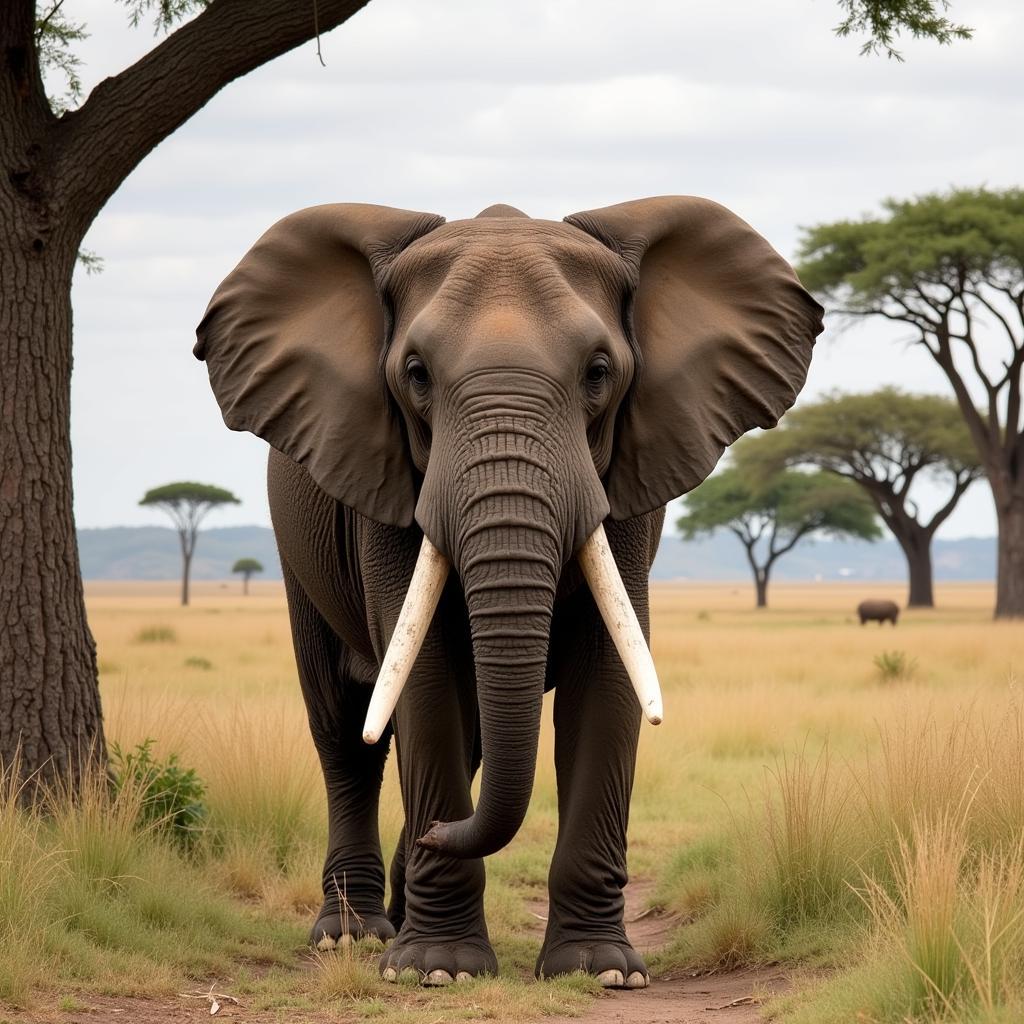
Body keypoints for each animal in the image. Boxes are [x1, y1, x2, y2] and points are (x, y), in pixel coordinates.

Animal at [195, 195, 823, 987]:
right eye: (416, 374)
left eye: (598, 372)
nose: (439, 832)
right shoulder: (389, 489)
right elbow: (426, 678)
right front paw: (436, 970)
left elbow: (607, 677)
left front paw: (601, 970)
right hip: (296, 545)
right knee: (345, 731)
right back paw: (352, 934)